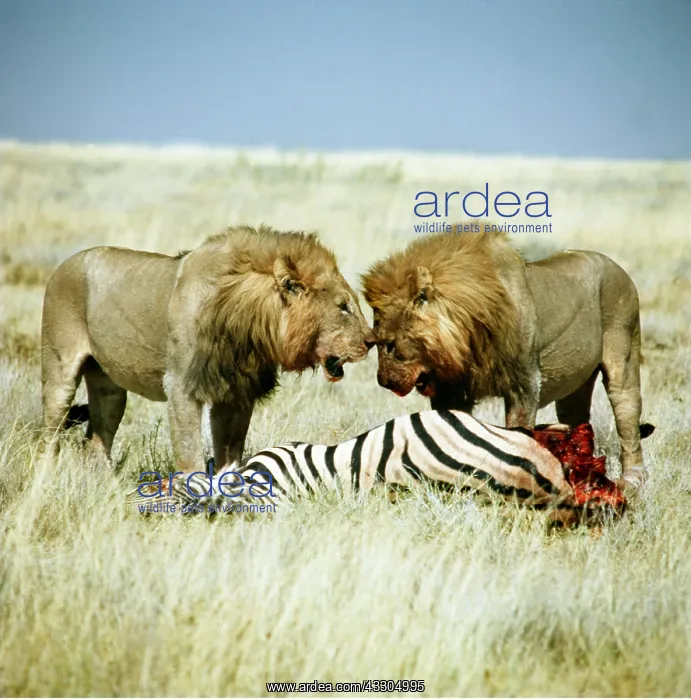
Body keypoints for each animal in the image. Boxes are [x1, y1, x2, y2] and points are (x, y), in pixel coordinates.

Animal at [40, 225, 375, 472]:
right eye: (343, 307)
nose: (372, 341)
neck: (248, 325)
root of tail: (65, 263)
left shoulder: (237, 392)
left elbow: (230, 450)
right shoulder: (181, 386)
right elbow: (190, 452)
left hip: (109, 389)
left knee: (95, 441)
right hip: (58, 370)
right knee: (50, 434)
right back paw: (48, 479)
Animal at [361, 230, 652, 489]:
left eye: (390, 345)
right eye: (373, 342)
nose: (383, 382)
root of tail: (618, 267)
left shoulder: (525, 384)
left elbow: (518, 433)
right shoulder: (450, 390)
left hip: (624, 353)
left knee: (627, 414)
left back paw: (631, 480)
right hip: (575, 387)